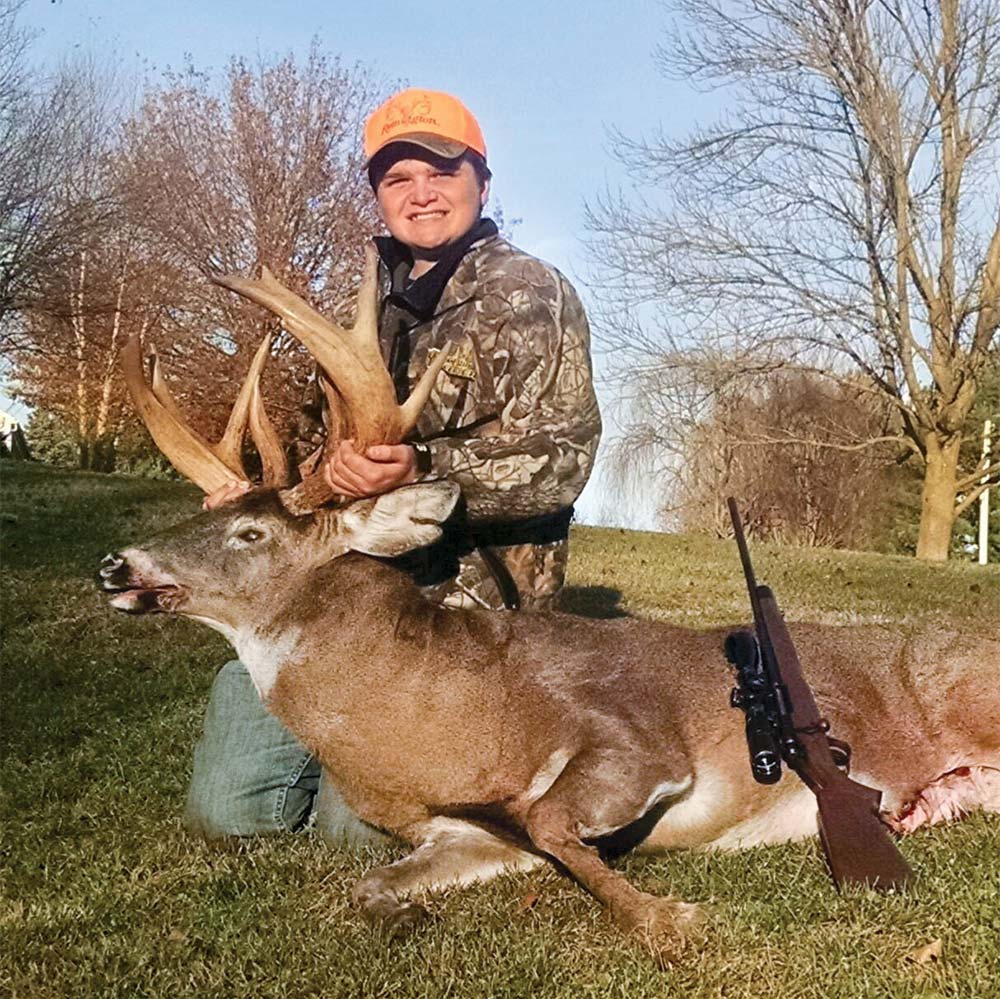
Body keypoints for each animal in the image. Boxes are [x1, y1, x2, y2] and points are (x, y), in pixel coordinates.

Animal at [99, 247, 1000, 965]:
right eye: (208, 518)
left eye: (250, 532)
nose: (116, 563)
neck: (442, 714)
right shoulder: (462, 831)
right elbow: (381, 880)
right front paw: (405, 919)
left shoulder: (634, 740)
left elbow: (552, 819)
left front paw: (668, 918)